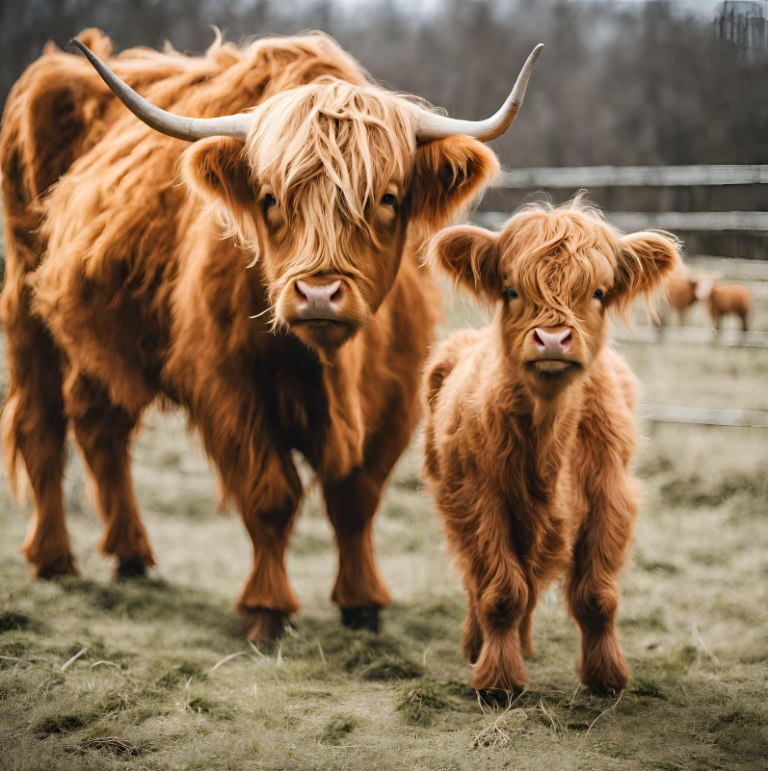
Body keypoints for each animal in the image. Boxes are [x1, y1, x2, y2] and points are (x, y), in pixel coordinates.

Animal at [0, 30, 544, 640]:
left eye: (386, 198)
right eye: (269, 199)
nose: (319, 294)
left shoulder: (396, 395)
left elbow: (356, 497)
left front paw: (362, 603)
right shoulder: (230, 387)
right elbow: (269, 494)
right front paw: (267, 609)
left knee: (100, 425)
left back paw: (131, 556)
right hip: (25, 308)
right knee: (41, 424)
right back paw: (53, 560)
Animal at [420, 198, 680, 692]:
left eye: (598, 293)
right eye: (510, 290)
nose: (554, 340)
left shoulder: (608, 497)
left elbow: (596, 597)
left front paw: (606, 676)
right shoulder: (481, 501)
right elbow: (501, 592)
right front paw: (498, 679)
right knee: (478, 585)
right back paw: (479, 647)